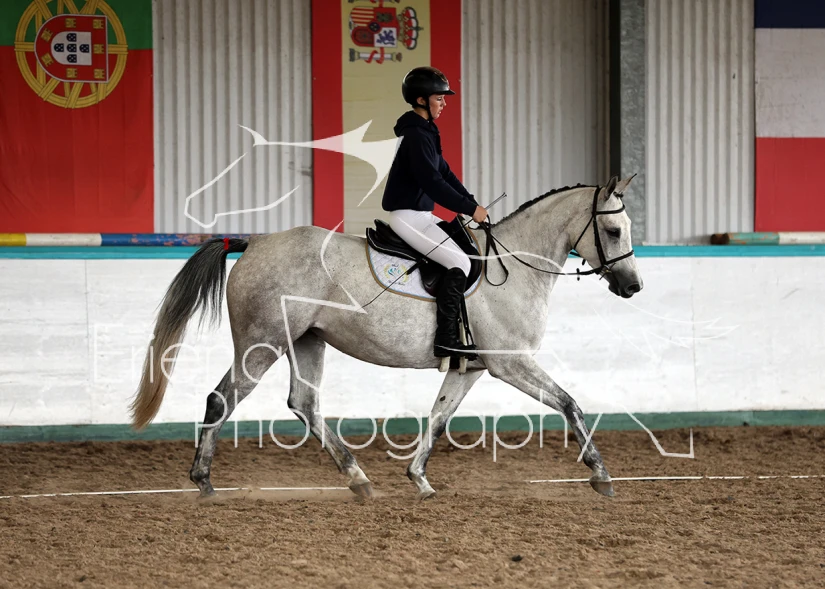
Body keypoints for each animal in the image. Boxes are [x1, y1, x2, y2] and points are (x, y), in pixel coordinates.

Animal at [131, 175, 643, 500]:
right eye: (612, 229)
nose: (633, 286)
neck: (511, 265)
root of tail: (254, 242)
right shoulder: (510, 361)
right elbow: (570, 404)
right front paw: (600, 474)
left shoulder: (471, 368)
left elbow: (438, 417)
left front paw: (418, 478)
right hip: (263, 343)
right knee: (223, 398)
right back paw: (203, 481)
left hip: (307, 341)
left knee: (305, 404)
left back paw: (358, 479)